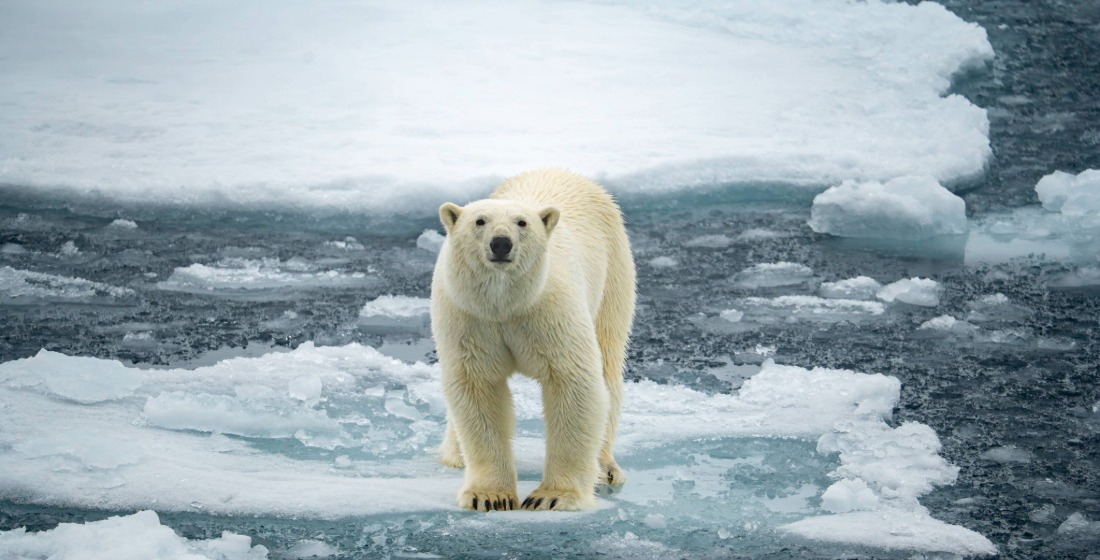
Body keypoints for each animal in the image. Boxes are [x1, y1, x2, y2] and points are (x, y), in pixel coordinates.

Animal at [431, 168, 636, 512]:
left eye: (522, 222)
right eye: (480, 221)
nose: (501, 244)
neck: (505, 304)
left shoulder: (550, 310)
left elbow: (573, 381)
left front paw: (552, 496)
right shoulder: (469, 315)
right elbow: (476, 386)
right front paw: (489, 496)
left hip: (613, 269)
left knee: (608, 360)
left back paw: (605, 468)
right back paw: (454, 454)